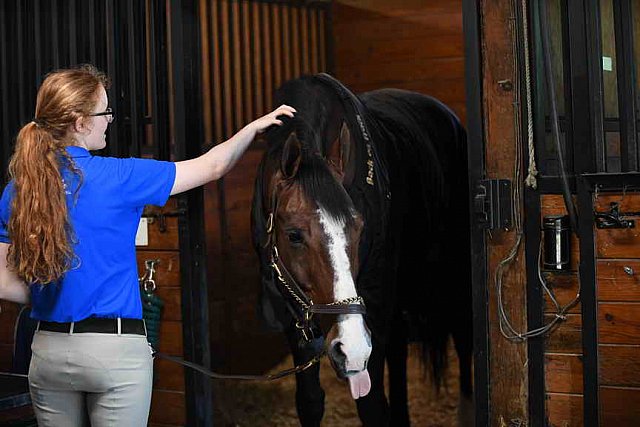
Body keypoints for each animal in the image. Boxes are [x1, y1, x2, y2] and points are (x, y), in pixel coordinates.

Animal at [252, 75, 472, 426]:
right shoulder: (291, 313)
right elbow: (310, 401)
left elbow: (371, 403)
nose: (350, 348)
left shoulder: (376, 303)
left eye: (359, 229)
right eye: (294, 235)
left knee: (463, 335)